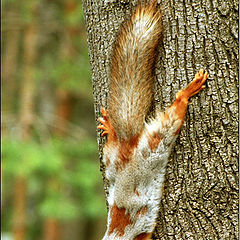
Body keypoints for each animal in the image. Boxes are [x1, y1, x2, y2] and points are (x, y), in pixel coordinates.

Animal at [97, 0, 208, 239]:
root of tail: (128, 148)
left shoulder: (139, 233)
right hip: (120, 154)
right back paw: (110, 128)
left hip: (157, 139)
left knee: (175, 109)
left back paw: (186, 92)